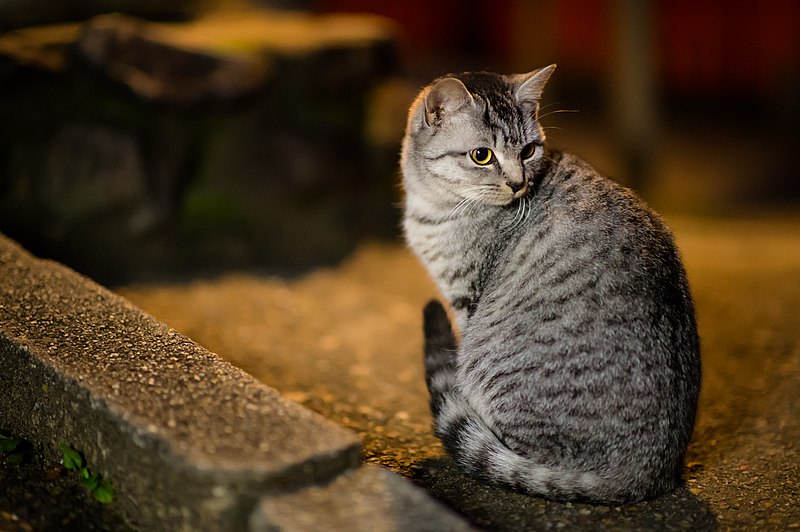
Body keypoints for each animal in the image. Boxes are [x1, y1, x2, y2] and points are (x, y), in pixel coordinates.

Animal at [400, 64, 700, 504]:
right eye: (481, 155)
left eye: (528, 150)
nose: (517, 182)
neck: (435, 208)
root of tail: (650, 472)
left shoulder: (466, 301)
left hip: (486, 362)